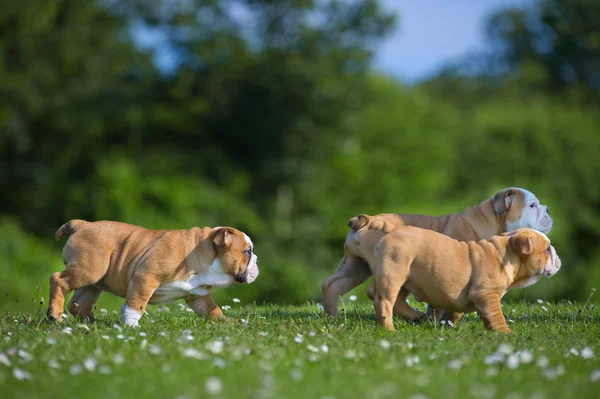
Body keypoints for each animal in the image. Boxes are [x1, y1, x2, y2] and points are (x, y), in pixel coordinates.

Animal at [48, 219, 258, 328]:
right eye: (248, 251)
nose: (257, 260)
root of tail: (82, 224)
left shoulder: (198, 295)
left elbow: (213, 310)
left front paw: (227, 322)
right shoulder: (146, 277)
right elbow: (136, 304)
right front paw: (132, 326)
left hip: (94, 282)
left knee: (78, 303)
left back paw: (93, 323)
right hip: (90, 269)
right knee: (58, 280)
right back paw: (55, 316)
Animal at [324, 188, 552, 318]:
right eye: (532, 205)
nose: (548, 209)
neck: (492, 221)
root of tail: (368, 220)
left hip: (355, 265)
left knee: (332, 284)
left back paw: (332, 316)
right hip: (395, 267)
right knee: (381, 293)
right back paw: (413, 316)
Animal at [372, 228, 560, 334]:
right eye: (547, 249)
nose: (558, 257)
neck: (505, 253)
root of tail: (386, 236)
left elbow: (454, 313)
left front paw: (446, 326)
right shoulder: (487, 294)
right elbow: (496, 315)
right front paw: (506, 333)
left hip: (404, 279)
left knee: (396, 301)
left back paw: (415, 316)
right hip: (394, 272)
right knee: (384, 302)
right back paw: (390, 329)